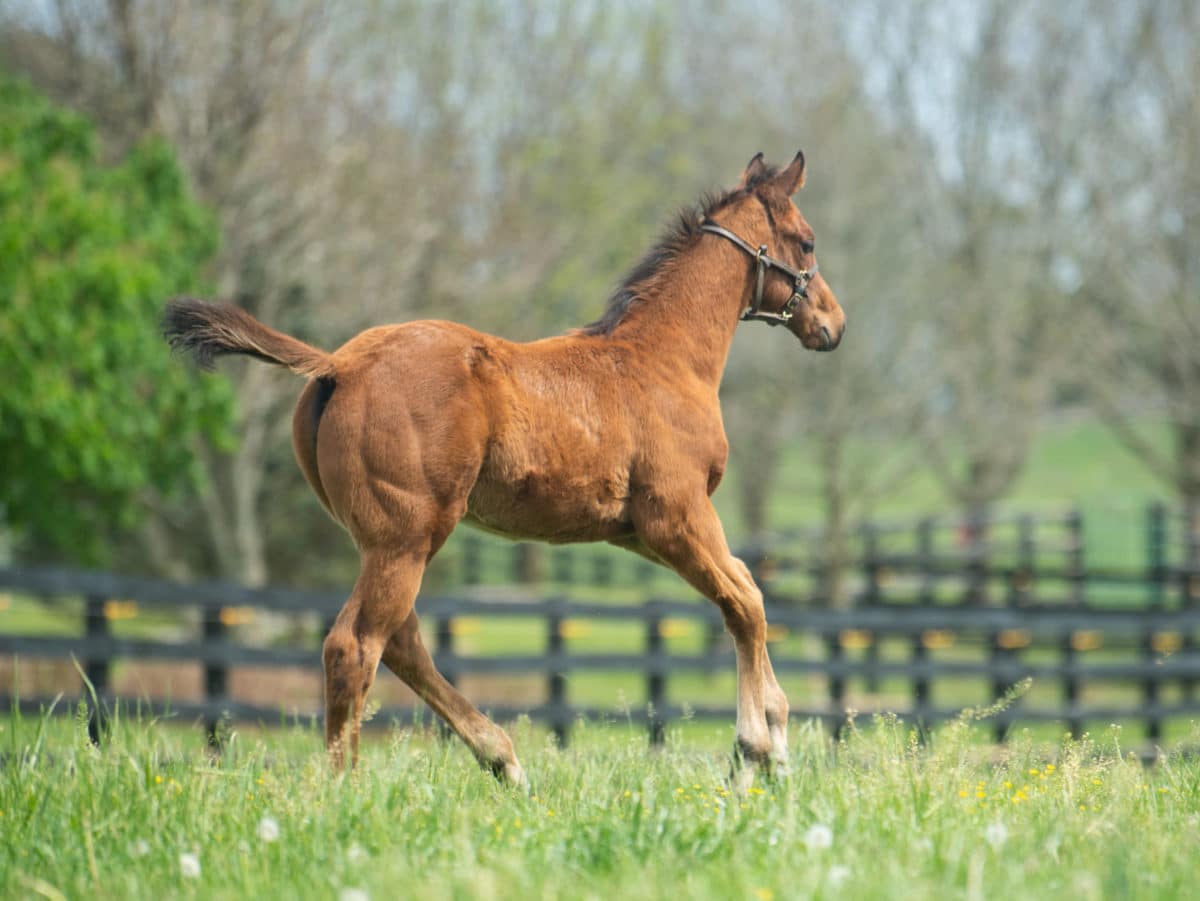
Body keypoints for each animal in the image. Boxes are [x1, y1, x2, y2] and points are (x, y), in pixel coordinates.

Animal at [164, 151, 844, 787]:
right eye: (807, 241)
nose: (833, 324)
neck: (659, 360)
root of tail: (339, 363)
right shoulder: (675, 516)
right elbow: (744, 604)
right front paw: (756, 751)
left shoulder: (637, 533)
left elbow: (747, 589)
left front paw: (777, 739)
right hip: (407, 536)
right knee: (354, 645)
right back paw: (347, 788)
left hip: (383, 539)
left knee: (401, 643)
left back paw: (502, 760)